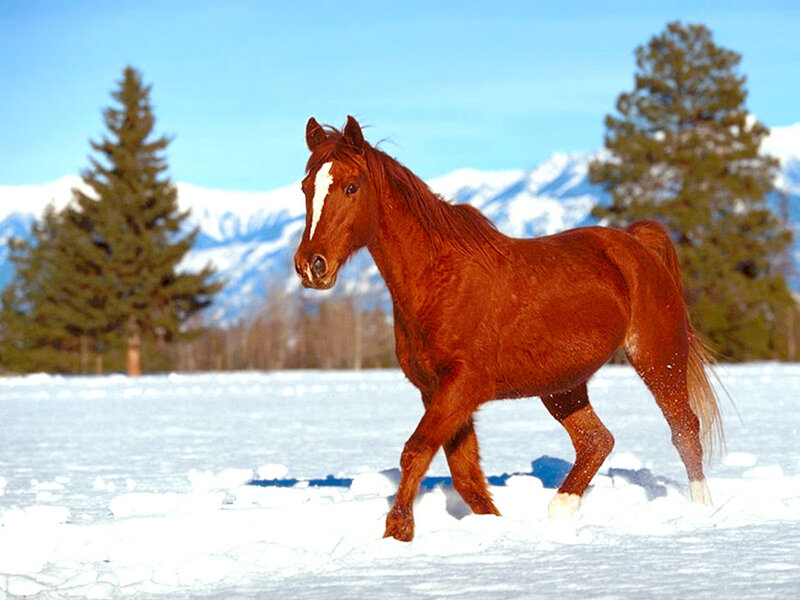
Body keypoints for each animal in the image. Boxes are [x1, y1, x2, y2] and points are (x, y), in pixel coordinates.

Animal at [293, 115, 723, 542]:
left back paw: (701, 510)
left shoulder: (463, 385)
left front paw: (397, 532)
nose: (311, 265)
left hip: (657, 357)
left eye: (351, 186)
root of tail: (638, 244)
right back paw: (560, 510)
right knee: (596, 440)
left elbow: (416, 451)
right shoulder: (437, 391)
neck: (439, 280)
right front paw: (493, 527)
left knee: (684, 430)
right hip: (562, 386)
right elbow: (465, 476)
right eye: (305, 187)